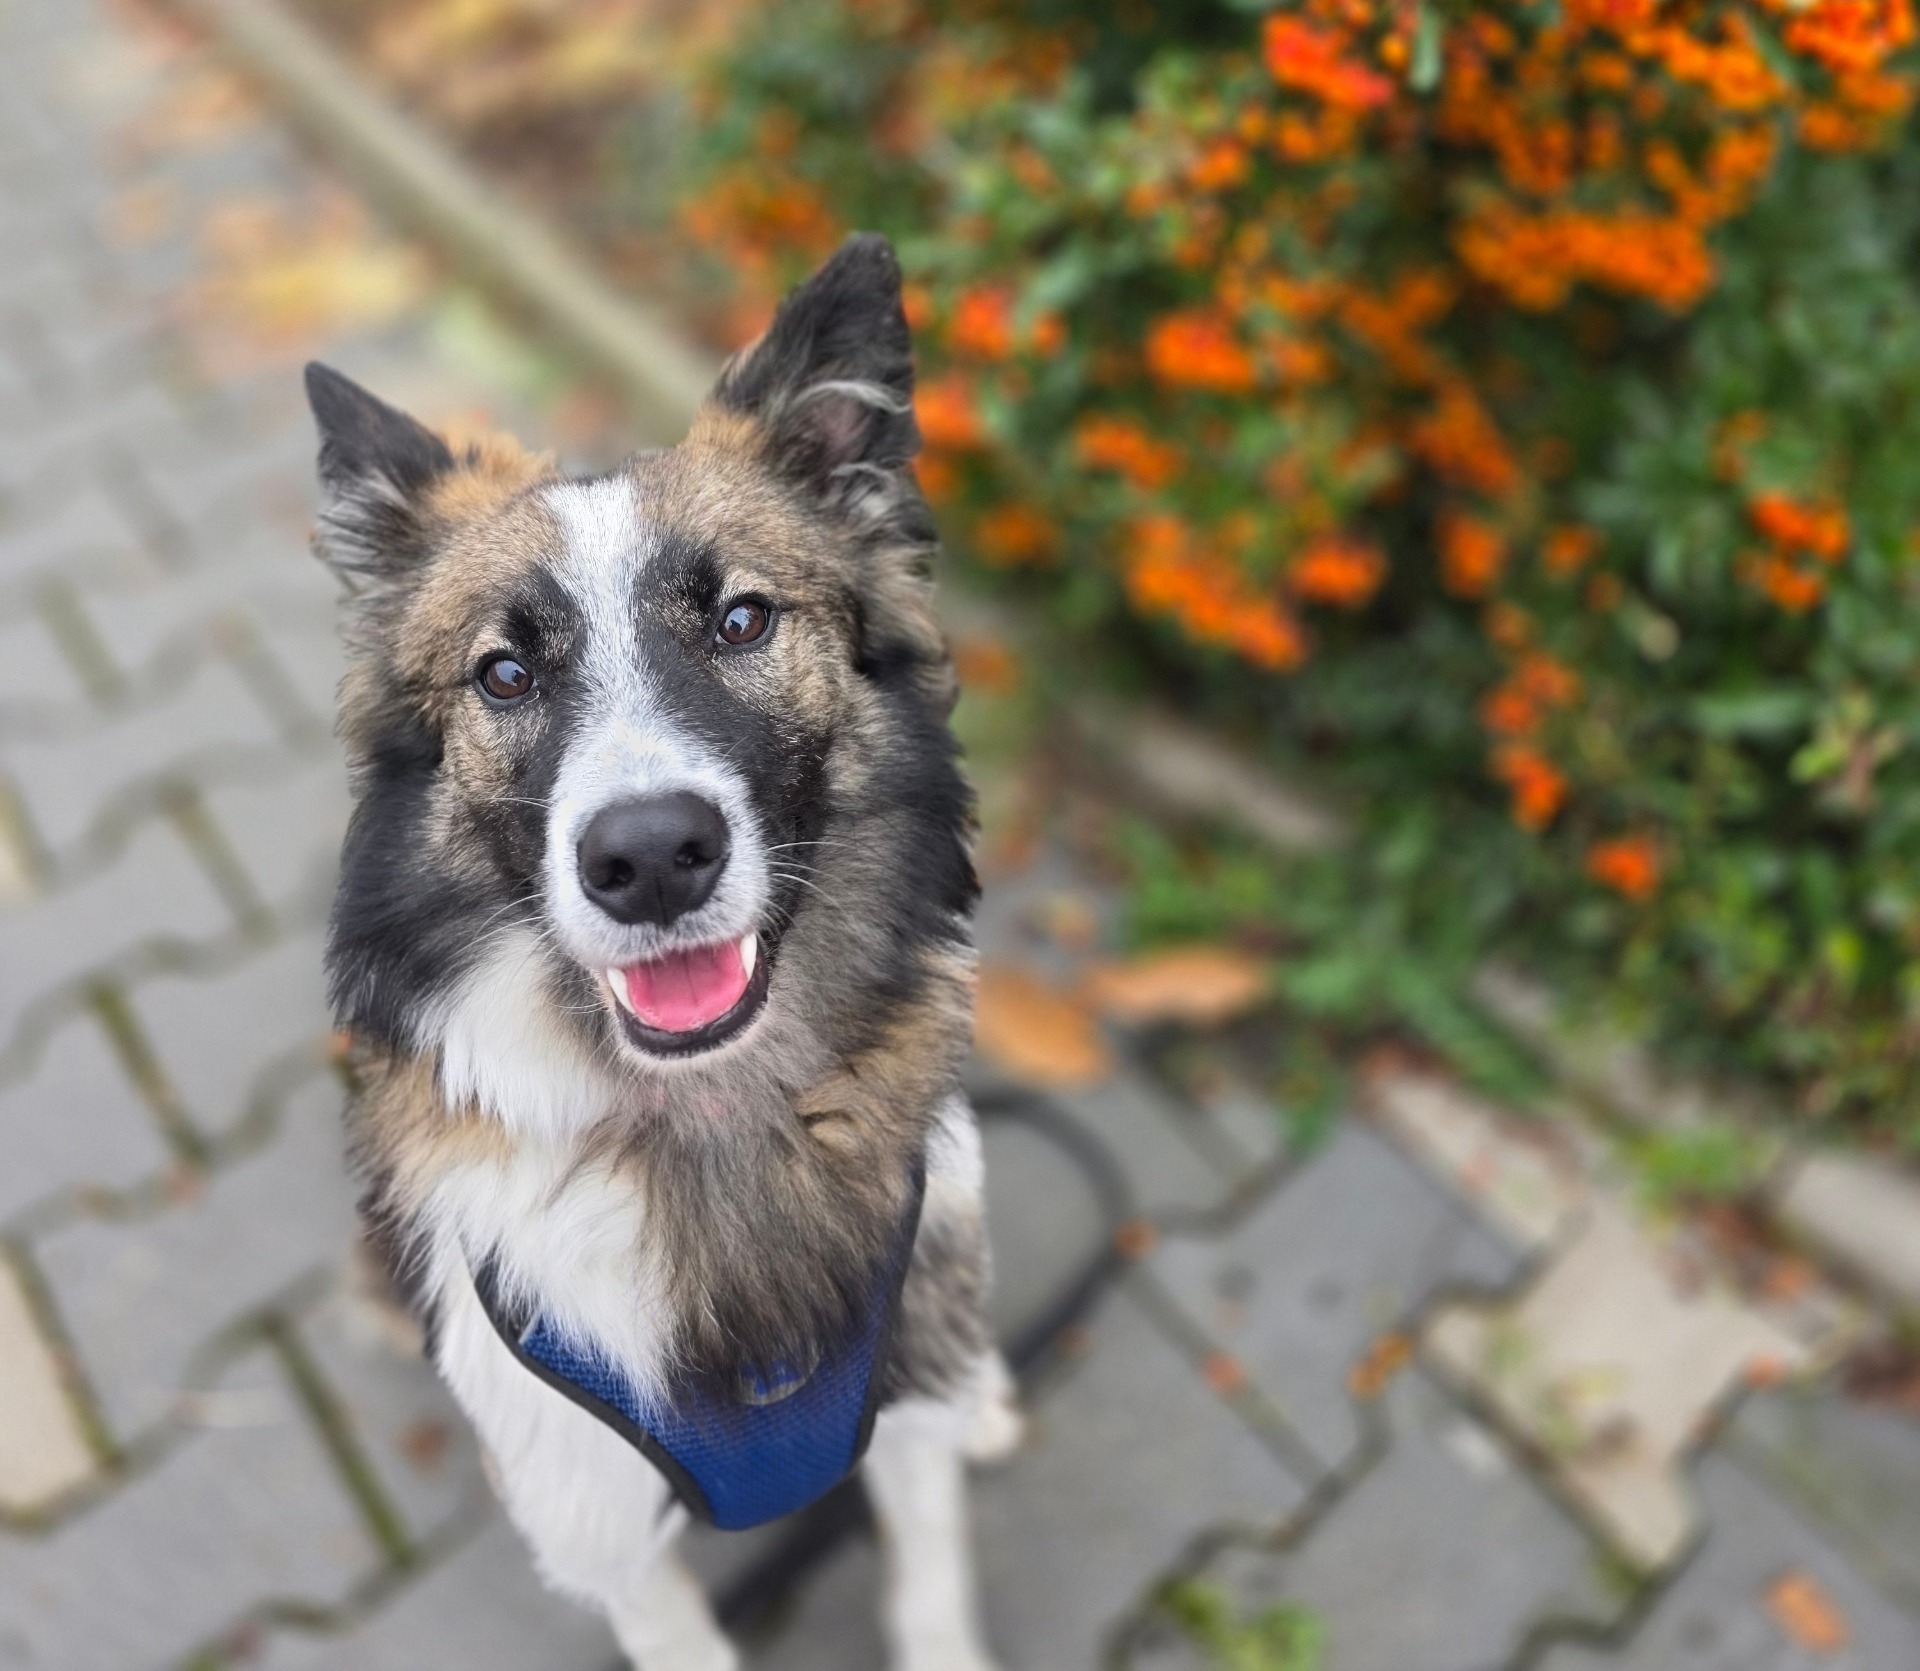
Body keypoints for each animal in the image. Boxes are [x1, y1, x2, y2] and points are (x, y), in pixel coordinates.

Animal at [304, 233, 1018, 1671]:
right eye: (505, 674)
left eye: (742, 621)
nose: (648, 858)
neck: (708, 1129)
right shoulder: (601, 1526)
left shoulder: (903, 1401)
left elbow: (929, 1585)